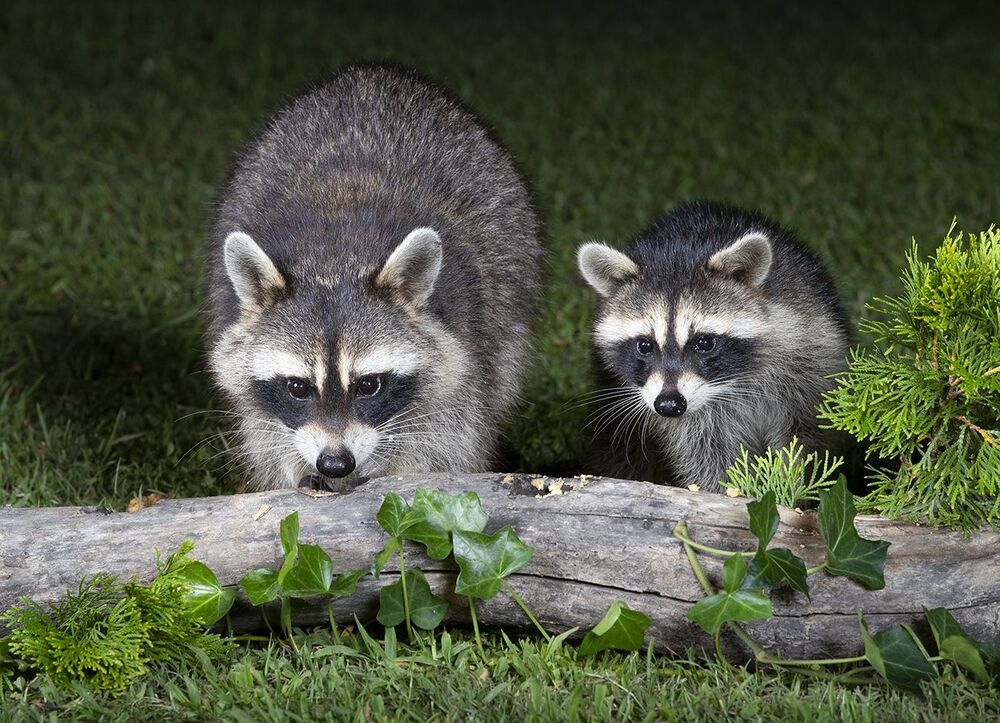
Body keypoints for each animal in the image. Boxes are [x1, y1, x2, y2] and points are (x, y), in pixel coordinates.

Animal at [206, 65, 540, 490]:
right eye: (297, 387)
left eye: (369, 385)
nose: (335, 463)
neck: (335, 261)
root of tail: (376, 74)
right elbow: (263, 428)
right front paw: (293, 469)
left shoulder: (467, 337)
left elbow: (452, 431)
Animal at [577, 201, 848, 492]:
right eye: (645, 345)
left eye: (704, 343)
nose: (669, 405)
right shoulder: (694, 420)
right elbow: (708, 456)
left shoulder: (809, 358)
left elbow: (804, 440)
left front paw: (792, 489)